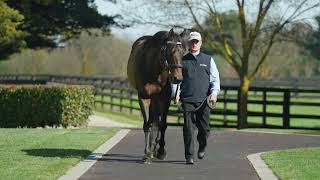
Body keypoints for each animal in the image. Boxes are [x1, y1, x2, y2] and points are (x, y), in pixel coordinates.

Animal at [127, 28, 188, 163]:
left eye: (183, 53)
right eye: (170, 52)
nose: (178, 78)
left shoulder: (165, 99)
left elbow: (162, 125)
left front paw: (160, 152)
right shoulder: (144, 98)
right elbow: (147, 125)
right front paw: (146, 154)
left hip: (157, 100)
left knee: (156, 122)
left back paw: (155, 149)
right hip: (152, 99)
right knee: (152, 122)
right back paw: (151, 149)